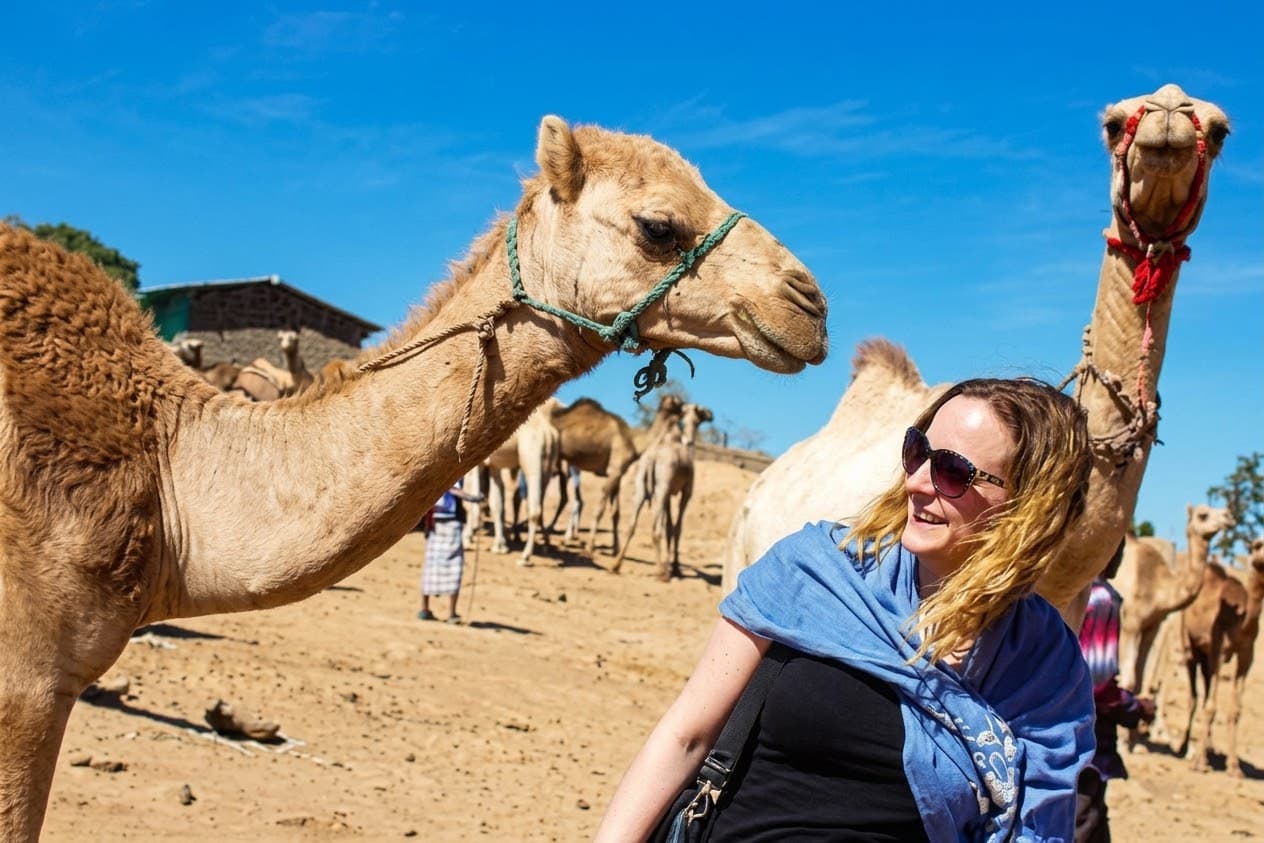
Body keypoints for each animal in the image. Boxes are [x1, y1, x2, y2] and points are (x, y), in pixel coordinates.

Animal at [548, 398, 640, 555]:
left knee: (568, 498)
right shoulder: (615, 471)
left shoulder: (616, 473)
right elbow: (608, 510)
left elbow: (614, 512)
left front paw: (614, 548)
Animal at [611, 402, 712, 581]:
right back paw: (660, 572)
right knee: (655, 529)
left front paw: (671, 567)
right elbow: (677, 529)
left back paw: (616, 565)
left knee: (631, 525)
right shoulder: (686, 491)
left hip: (641, 487)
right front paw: (676, 568)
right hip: (662, 485)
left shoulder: (668, 494)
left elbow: (669, 528)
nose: (711, 414)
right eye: (701, 410)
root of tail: (652, 458)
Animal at [1174, 537, 1264, 775]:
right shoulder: (1218, 649)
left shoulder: (1246, 655)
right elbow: (1211, 706)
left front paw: (1233, 766)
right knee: (1194, 697)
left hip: (1207, 659)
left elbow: (1235, 710)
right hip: (1191, 648)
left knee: (1205, 693)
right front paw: (1199, 763)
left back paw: (1209, 749)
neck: (1241, 622)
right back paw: (1184, 748)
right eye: (1257, 546)